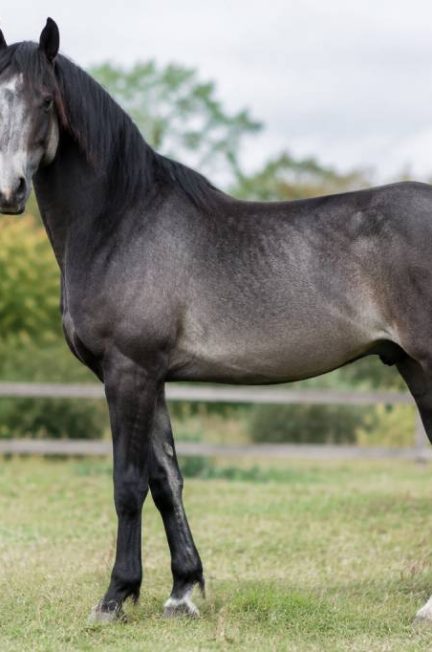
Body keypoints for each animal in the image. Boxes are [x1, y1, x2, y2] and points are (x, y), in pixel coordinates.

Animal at [1, 18, 432, 624]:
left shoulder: (127, 372)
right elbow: (167, 480)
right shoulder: (151, 376)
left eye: (45, 100)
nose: (8, 191)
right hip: (414, 366)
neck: (120, 222)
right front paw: (182, 591)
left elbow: (127, 484)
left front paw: (115, 598)